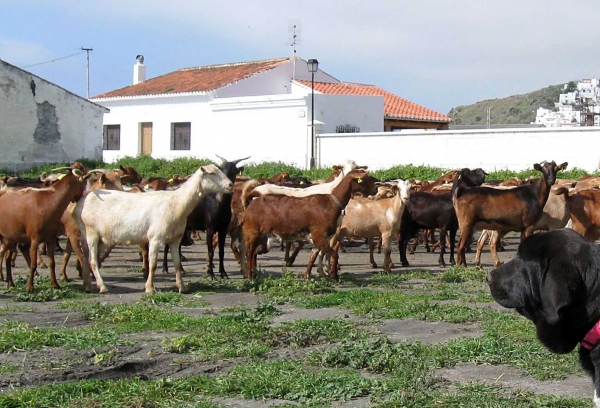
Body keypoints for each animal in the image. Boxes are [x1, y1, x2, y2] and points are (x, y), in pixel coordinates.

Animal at [74, 163, 233, 294]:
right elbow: (153, 264)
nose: (231, 185)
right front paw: (150, 288)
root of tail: (83, 200)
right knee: (93, 260)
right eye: (211, 173)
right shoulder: (156, 238)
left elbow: (177, 264)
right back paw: (103, 287)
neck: (176, 203)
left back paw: (89, 286)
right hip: (91, 233)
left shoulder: (175, 239)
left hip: (97, 237)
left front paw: (182, 287)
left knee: (87, 258)